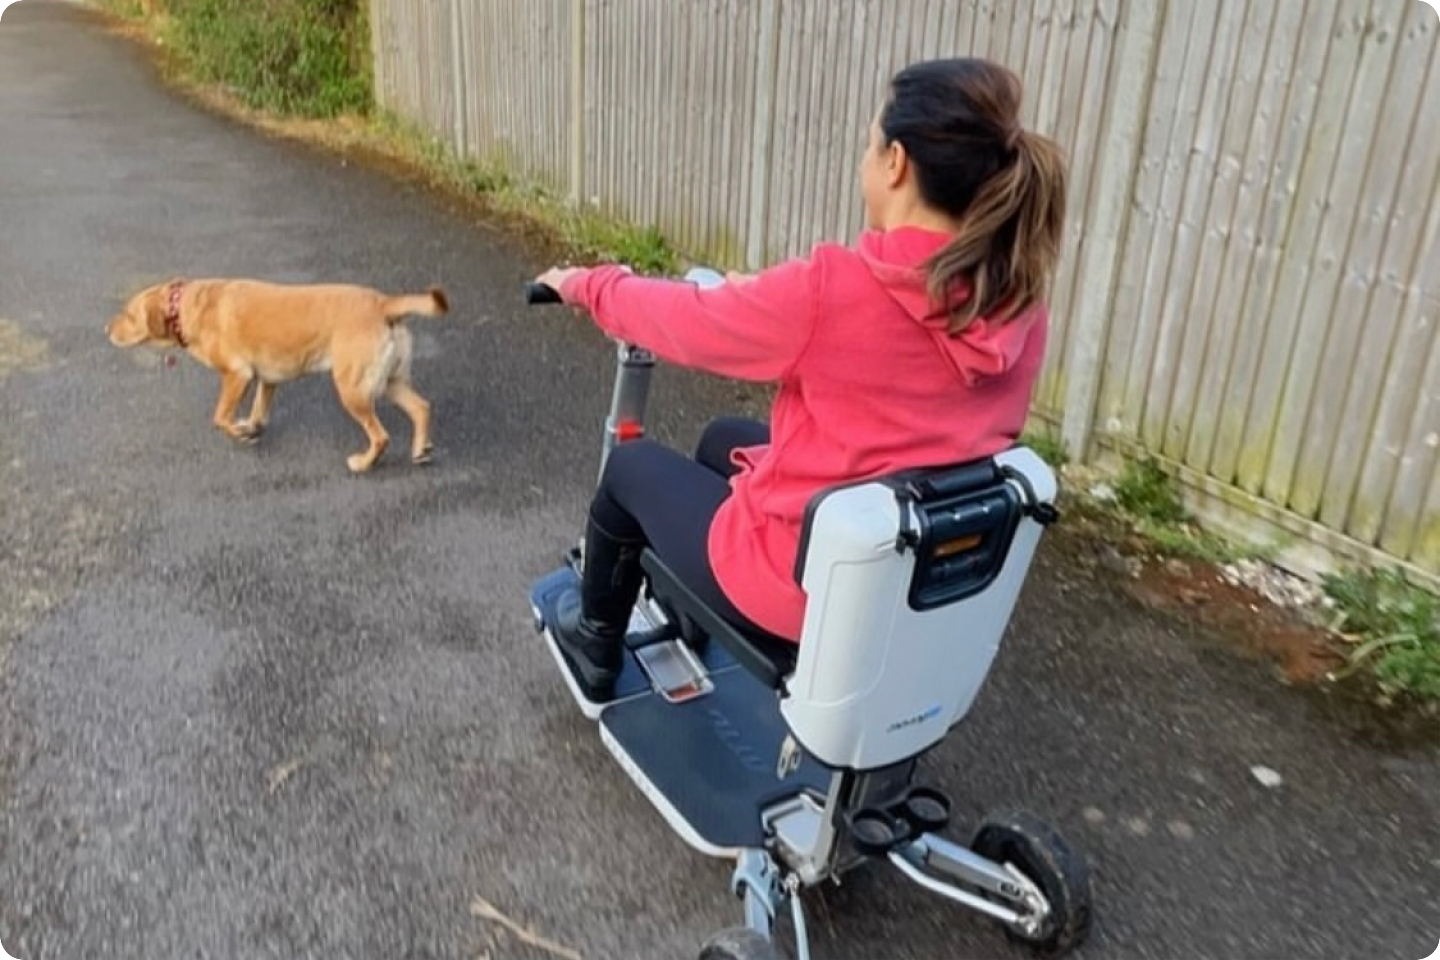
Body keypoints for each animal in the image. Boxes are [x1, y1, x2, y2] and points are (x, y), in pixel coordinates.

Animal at [107, 277, 446, 472]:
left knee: (380, 436)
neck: (184, 305)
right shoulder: (267, 379)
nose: (105, 329)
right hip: (389, 382)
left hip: (352, 389)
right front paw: (251, 427)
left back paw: (363, 464)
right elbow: (258, 410)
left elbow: (220, 417)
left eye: (128, 313)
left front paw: (240, 433)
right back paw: (420, 450)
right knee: (421, 407)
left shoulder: (237, 374)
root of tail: (383, 303)